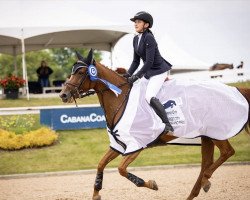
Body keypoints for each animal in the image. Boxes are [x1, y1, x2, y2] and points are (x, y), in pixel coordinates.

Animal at [59, 50, 249, 200]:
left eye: (81, 72)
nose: (63, 94)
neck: (120, 98)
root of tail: (235, 90)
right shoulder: (119, 144)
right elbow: (100, 164)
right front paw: (96, 193)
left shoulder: (137, 144)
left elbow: (121, 169)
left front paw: (151, 184)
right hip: (207, 136)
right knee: (207, 162)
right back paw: (199, 188)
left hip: (217, 132)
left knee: (226, 152)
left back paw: (206, 180)